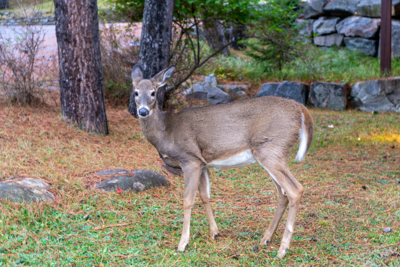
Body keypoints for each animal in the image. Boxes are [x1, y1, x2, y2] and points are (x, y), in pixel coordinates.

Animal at [130, 63, 314, 258]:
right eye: (135, 92)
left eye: (153, 92)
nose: (143, 111)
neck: (165, 130)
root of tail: (302, 110)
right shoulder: (203, 163)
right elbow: (205, 196)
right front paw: (214, 232)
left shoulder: (190, 159)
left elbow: (188, 200)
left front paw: (182, 244)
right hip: (271, 154)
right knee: (283, 195)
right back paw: (266, 239)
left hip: (271, 149)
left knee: (295, 190)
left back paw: (282, 250)